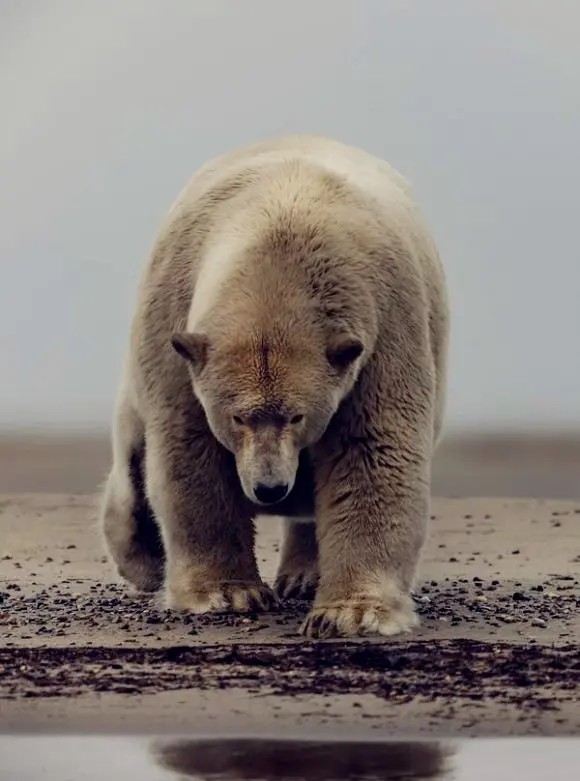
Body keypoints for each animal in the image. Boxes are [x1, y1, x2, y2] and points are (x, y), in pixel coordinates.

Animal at [99, 134, 448, 636]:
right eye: (238, 416)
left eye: (297, 415)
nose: (269, 488)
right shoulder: (176, 322)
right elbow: (191, 448)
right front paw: (227, 593)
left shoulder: (383, 332)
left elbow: (371, 449)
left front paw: (350, 613)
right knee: (133, 460)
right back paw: (142, 560)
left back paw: (303, 576)